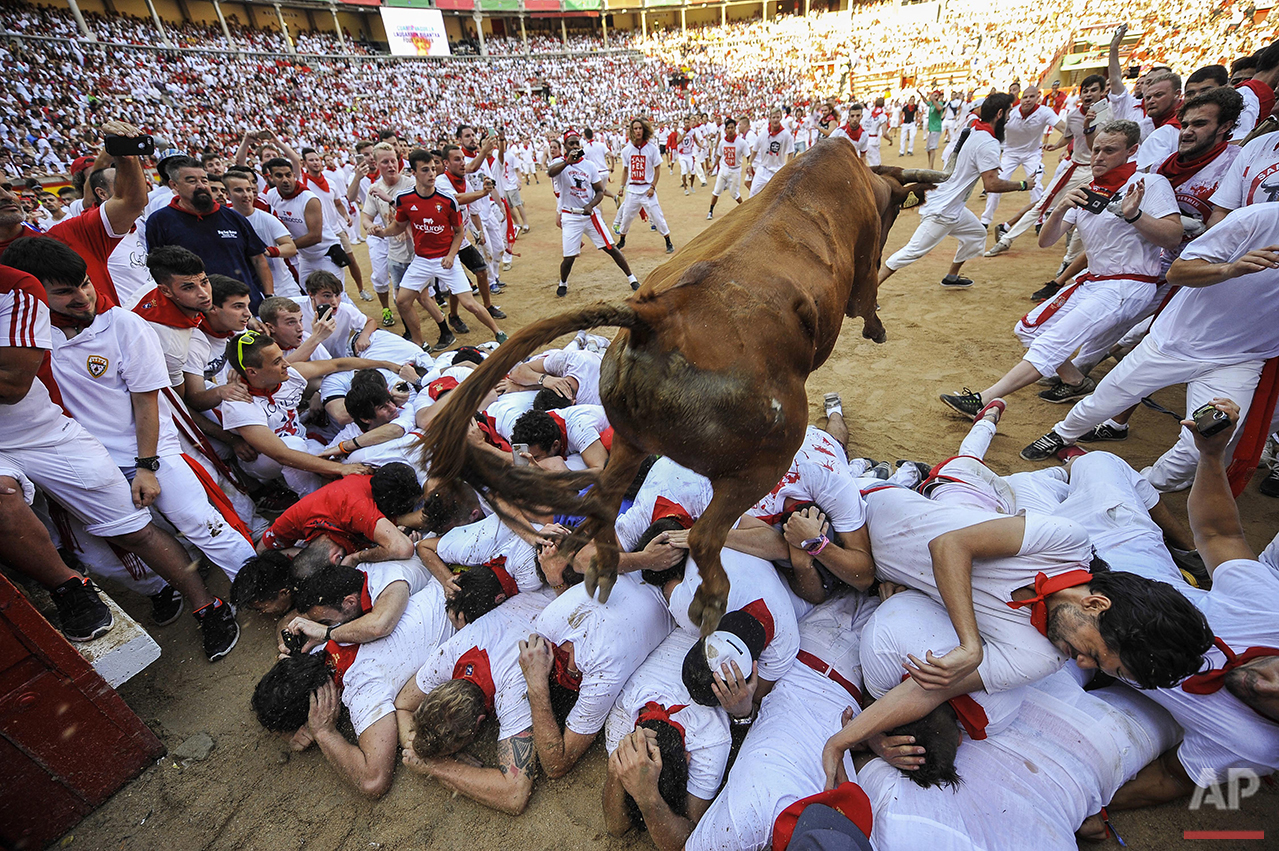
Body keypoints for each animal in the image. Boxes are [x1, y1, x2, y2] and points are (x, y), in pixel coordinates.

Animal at [419, 137, 941, 629]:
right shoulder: (863, 271)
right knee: (705, 536)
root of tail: (656, 318)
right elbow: (867, 298)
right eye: (895, 208)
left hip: (629, 438)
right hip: (764, 461)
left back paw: (600, 566)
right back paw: (709, 602)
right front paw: (877, 328)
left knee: (606, 500)